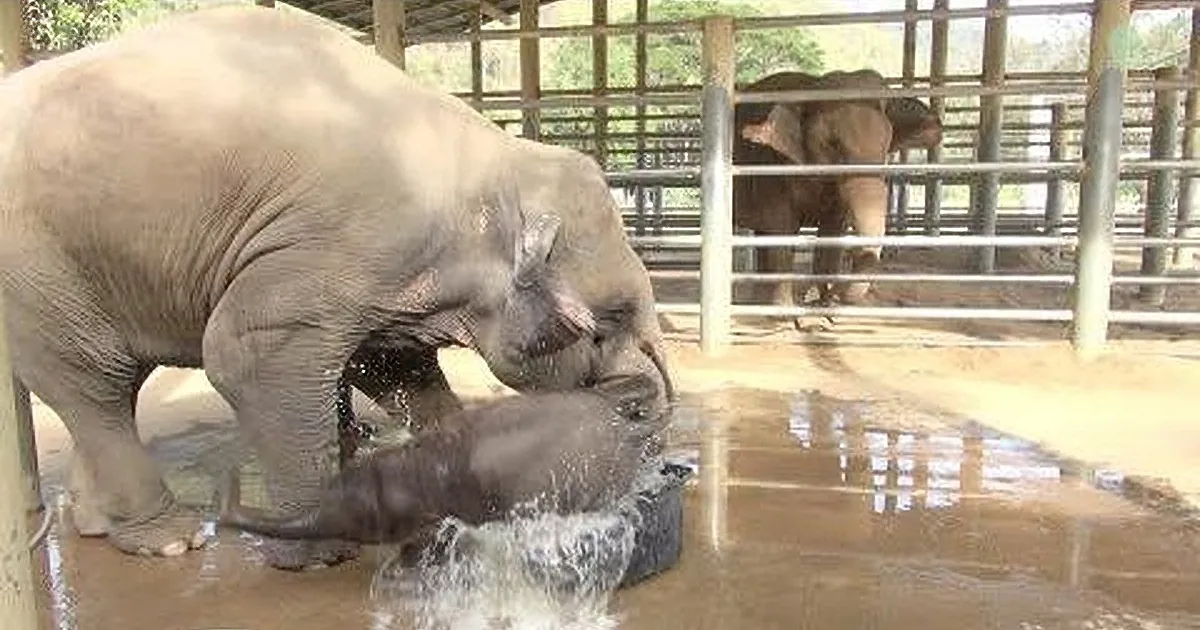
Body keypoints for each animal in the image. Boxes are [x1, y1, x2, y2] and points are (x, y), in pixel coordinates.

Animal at [0, 6, 673, 570]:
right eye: (603, 324)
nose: (640, 408)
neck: (488, 162)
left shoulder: (390, 270)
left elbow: (392, 363)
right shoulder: (330, 245)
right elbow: (243, 355)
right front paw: (321, 554)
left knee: (111, 380)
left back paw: (98, 525)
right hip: (35, 265)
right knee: (95, 380)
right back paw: (170, 540)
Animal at [733, 68, 944, 308]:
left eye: (886, 145)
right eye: (832, 144)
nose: (830, 294)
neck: (811, 86)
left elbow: (832, 230)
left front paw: (824, 304)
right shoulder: (771, 169)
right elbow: (781, 230)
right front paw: (783, 310)